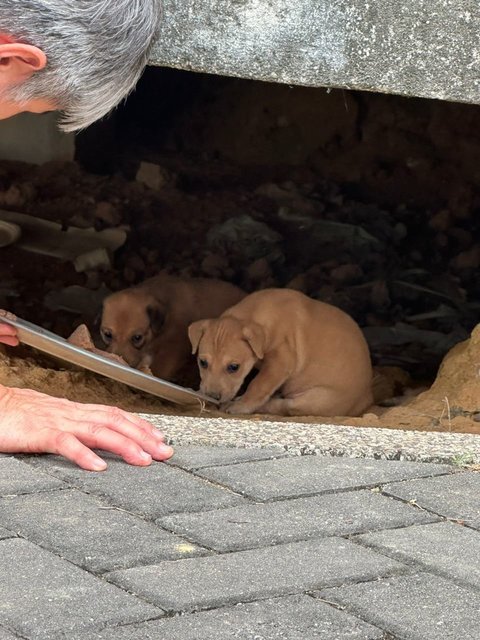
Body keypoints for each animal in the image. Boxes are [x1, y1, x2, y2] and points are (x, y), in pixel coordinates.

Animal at [189, 288, 374, 418]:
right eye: (202, 362)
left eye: (234, 367)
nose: (211, 396)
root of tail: (366, 399)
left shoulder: (281, 360)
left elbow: (258, 384)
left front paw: (241, 405)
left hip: (313, 400)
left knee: (283, 406)